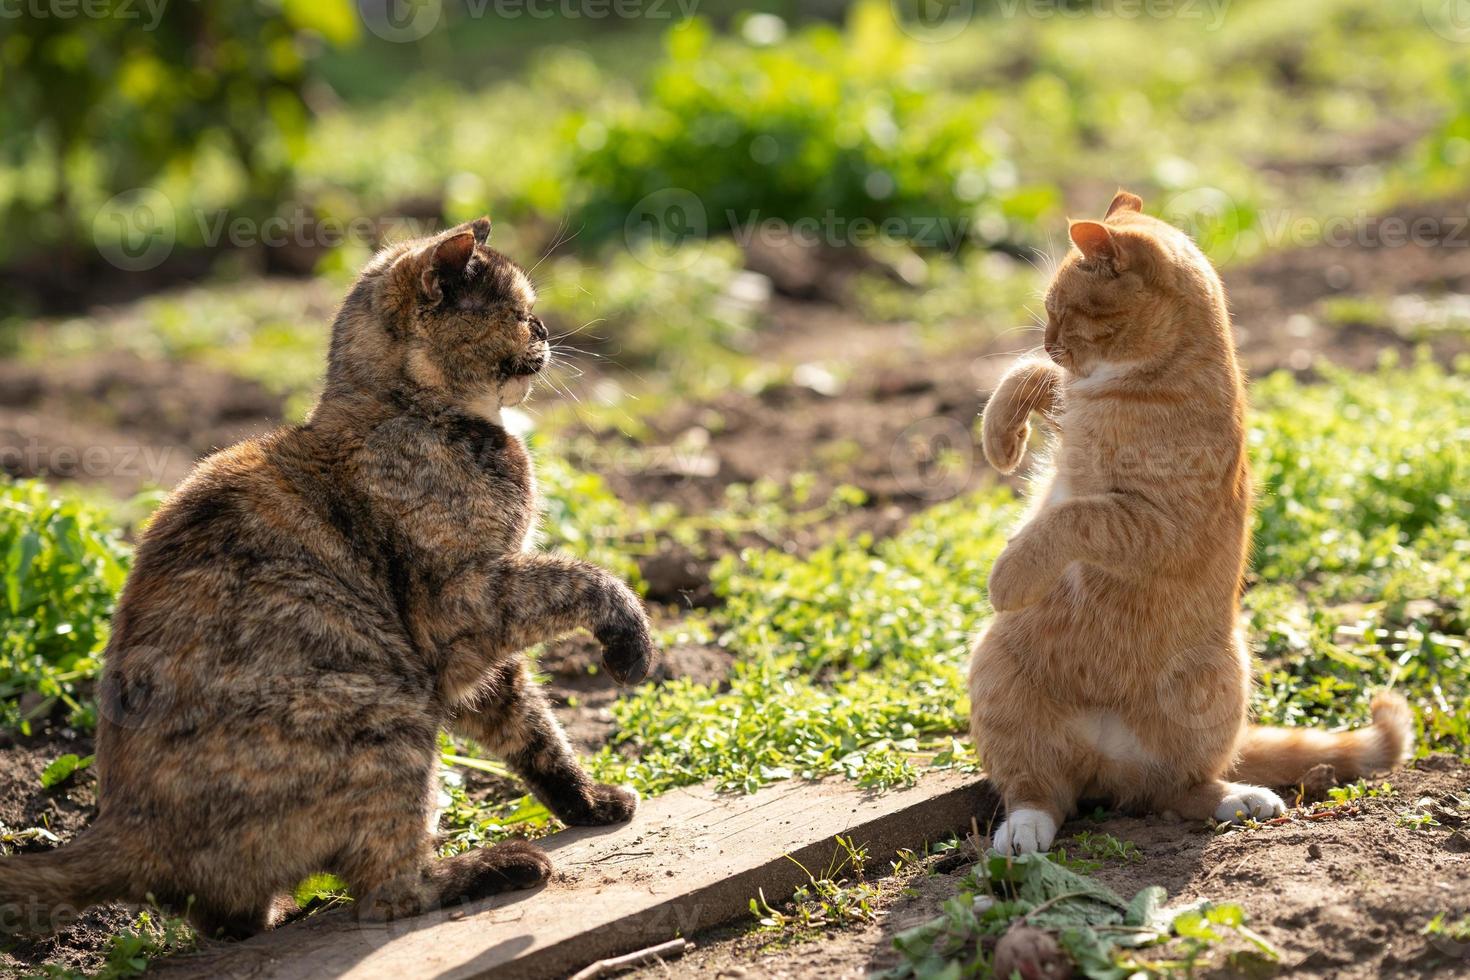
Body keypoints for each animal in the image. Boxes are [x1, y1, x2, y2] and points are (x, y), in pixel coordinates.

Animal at [0, 218, 655, 940]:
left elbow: (536, 732)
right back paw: (499, 867)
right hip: (387, 717)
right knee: (389, 892)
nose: (544, 330)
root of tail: (121, 829)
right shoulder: (469, 602)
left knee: (236, 919)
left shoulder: (478, 663)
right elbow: (589, 580)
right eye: (516, 310)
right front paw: (630, 644)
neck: (409, 415)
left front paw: (589, 801)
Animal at [964, 189, 1411, 852]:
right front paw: (1002, 438)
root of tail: (1105, 761)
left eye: (1059, 310)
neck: (1137, 382)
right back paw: (1025, 832)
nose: (1049, 341)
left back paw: (1240, 798)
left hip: (1220, 686)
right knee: (1040, 792)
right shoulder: (1073, 403)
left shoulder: (1151, 523)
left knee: (1172, 789)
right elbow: (1023, 376)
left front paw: (1009, 574)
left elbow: (1073, 516)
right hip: (1000, 680)